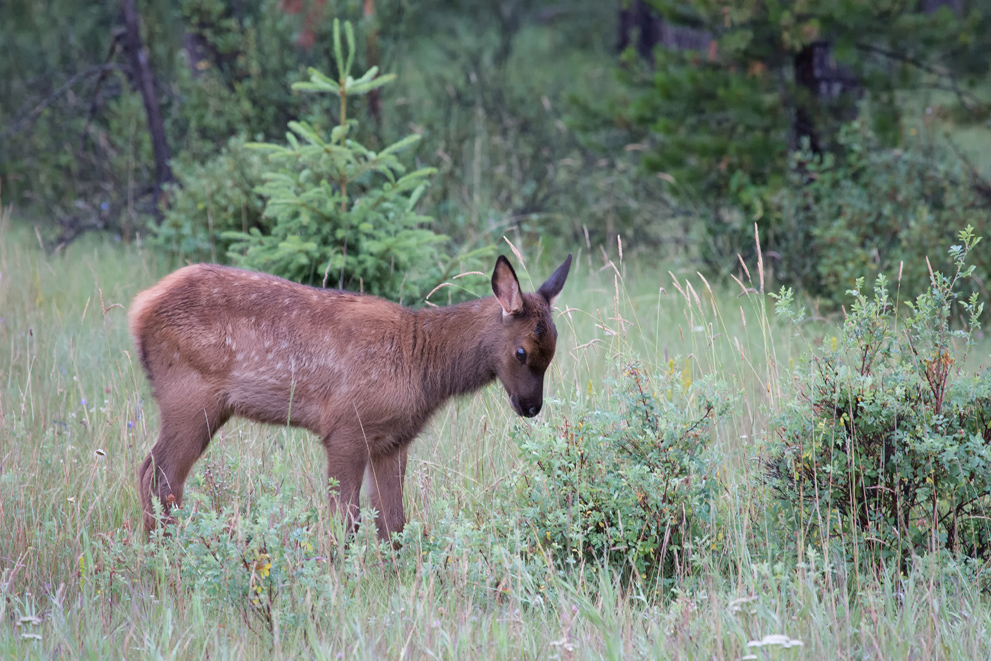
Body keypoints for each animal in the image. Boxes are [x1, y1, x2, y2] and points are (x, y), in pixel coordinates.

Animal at [130, 255, 572, 540]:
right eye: (522, 352)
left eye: (552, 352)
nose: (531, 407)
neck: (422, 367)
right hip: (190, 398)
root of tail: (139, 308)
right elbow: (346, 519)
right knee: (160, 475)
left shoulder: (392, 441)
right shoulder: (345, 428)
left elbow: (393, 522)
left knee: (152, 471)